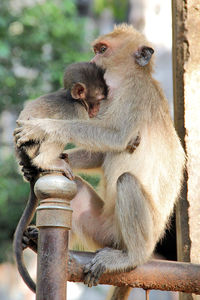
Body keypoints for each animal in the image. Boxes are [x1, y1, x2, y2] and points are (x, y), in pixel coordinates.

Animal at [13, 61, 108, 292]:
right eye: (97, 100)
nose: (96, 111)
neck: (71, 97)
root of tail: (23, 154)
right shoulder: (79, 111)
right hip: (32, 147)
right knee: (57, 132)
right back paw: (48, 162)